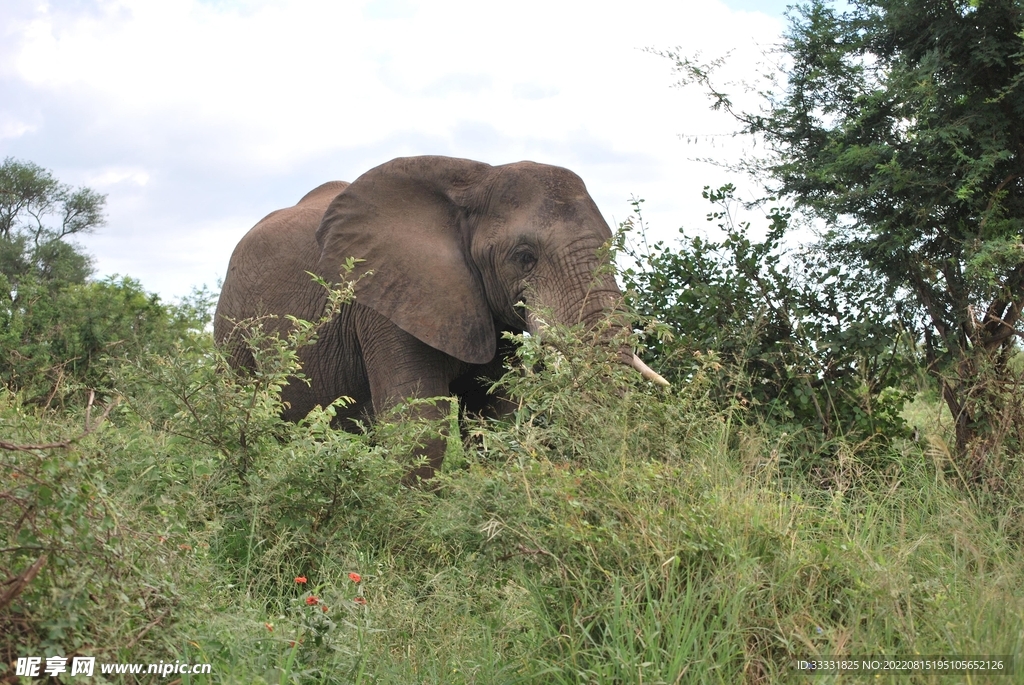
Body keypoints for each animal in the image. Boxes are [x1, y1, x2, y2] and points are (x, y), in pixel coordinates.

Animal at [214, 156, 667, 482]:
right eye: (525, 257)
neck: (478, 179)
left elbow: (494, 418)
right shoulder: (385, 302)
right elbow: (419, 428)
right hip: (231, 333)